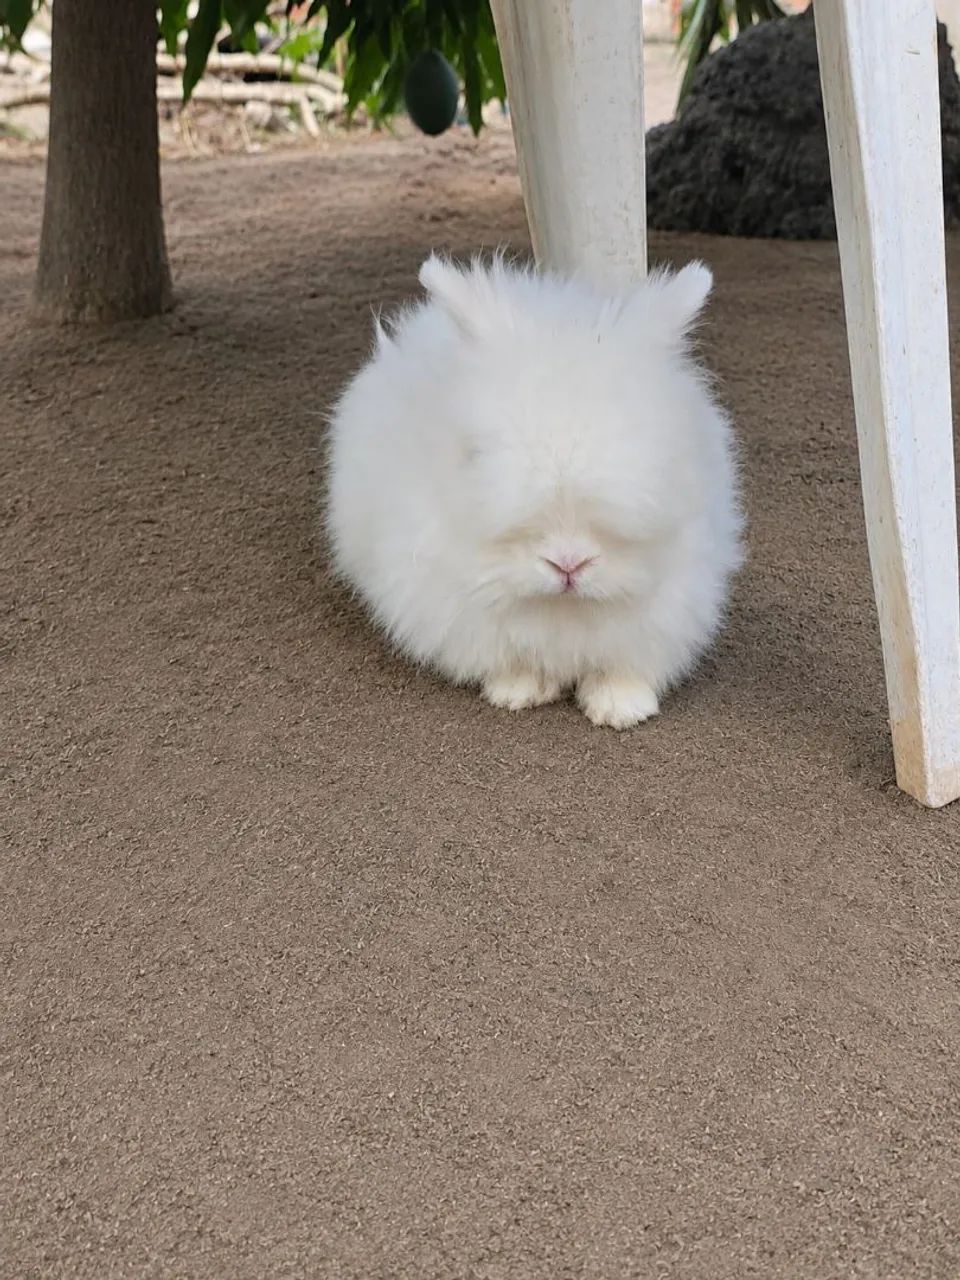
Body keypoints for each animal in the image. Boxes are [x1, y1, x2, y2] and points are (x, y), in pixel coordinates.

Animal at [324, 253, 743, 728]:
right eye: (475, 454)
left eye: (658, 456)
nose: (568, 564)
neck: (561, 610)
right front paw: (518, 693)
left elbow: (623, 664)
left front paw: (621, 708)